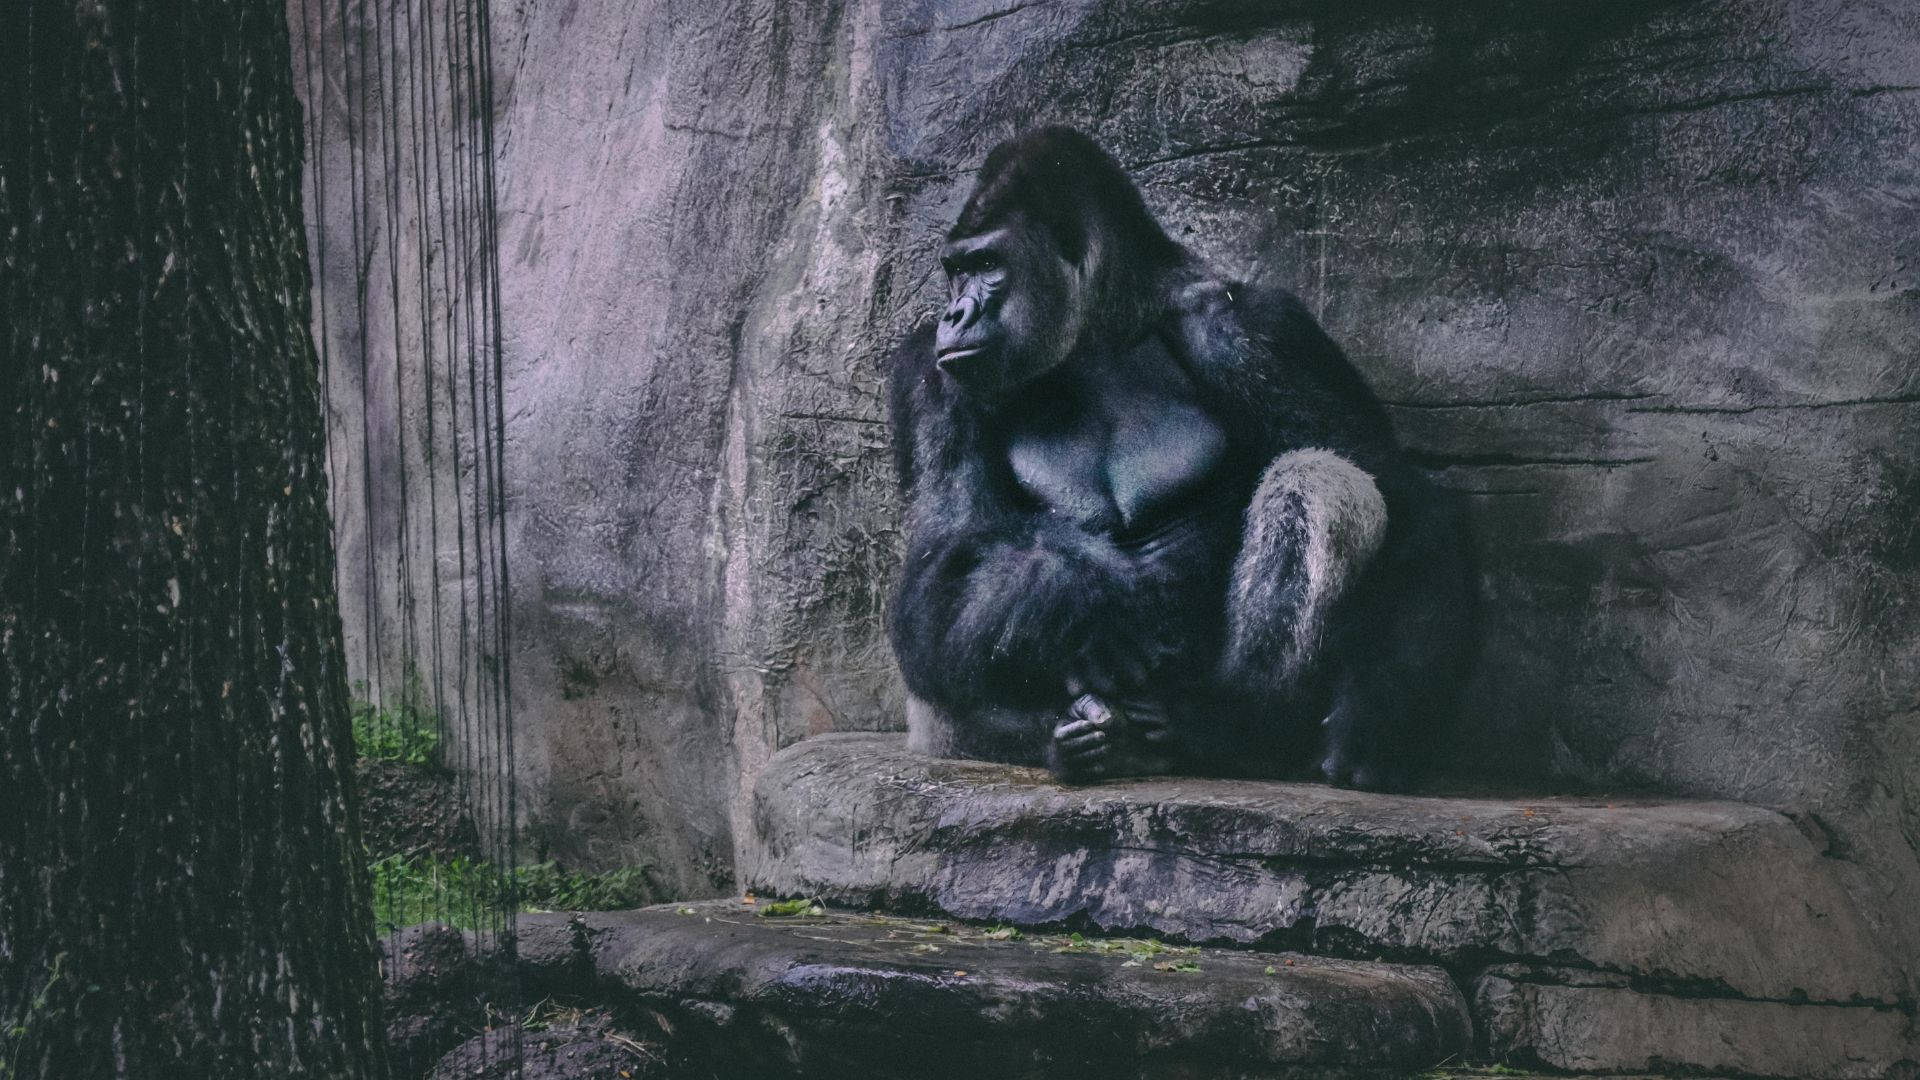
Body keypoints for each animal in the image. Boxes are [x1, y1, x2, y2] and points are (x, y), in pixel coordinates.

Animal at [886, 127, 1477, 792]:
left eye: (987, 266)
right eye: (956, 271)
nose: (953, 314)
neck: (1105, 324)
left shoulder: (1256, 328)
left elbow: (1403, 494)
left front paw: (1377, 715)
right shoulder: (929, 373)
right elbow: (944, 551)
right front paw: (1057, 586)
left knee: (1316, 477)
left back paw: (1231, 728)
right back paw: (1078, 742)